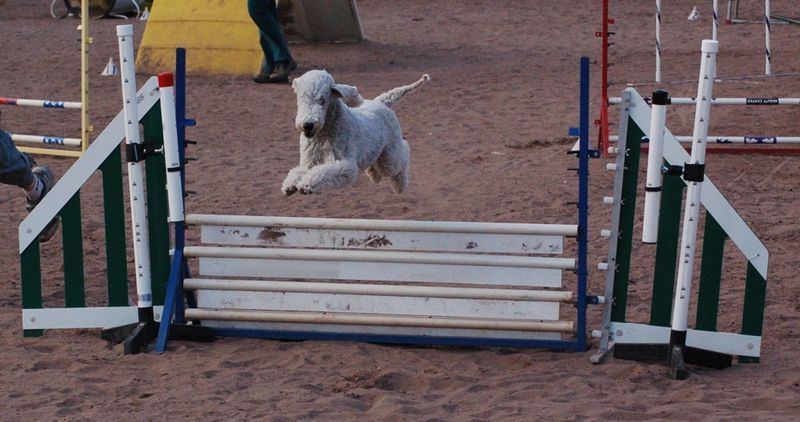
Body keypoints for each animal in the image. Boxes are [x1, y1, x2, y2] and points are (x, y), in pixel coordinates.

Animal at [282, 70, 432, 195]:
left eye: (322, 100)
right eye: (300, 98)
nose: (307, 125)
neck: (323, 134)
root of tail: (381, 102)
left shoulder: (346, 165)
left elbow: (323, 172)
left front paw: (306, 185)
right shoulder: (308, 164)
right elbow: (297, 171)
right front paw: (289, 185)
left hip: (391, 154)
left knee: (403, 153)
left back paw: (399, 185)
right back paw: (373, 174)